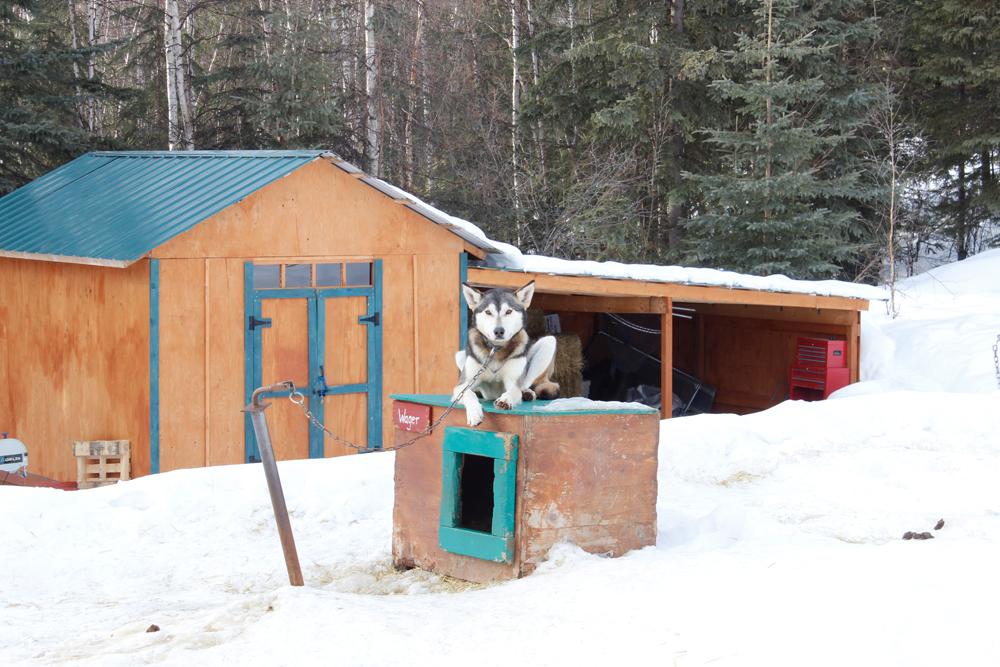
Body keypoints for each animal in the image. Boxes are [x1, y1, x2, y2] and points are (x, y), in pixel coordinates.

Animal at [452, 280, 560, 428]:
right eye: (488, 312)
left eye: (509, 311)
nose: (499, 331)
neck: (496, 349)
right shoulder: (461, 386)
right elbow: (468, 393)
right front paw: (474, 413)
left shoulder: (513, 381)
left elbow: (513, 391)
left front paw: (505, 400)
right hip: (459, 355)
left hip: (549, 342)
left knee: (525, 383)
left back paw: (526, 392)